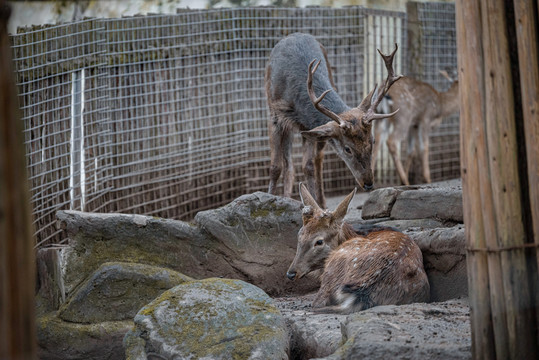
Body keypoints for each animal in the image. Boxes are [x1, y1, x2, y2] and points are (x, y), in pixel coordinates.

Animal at [268, 34, 402, 208]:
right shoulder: (275, 116)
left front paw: (314, 205)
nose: (368, 183)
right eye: (347, 149)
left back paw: (320, 202)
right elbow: (275, 167)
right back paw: (287, 198)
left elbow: (308, 166)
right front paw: (269, 198)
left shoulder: (308, 124)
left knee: (315, 159)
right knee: (289, 163)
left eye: (372, 141)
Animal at [286, 184, 430, 314]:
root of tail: (363, 292)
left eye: (319, 241)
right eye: (299, 235)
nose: (291, 273)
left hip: (334, 266)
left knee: (318, 301)